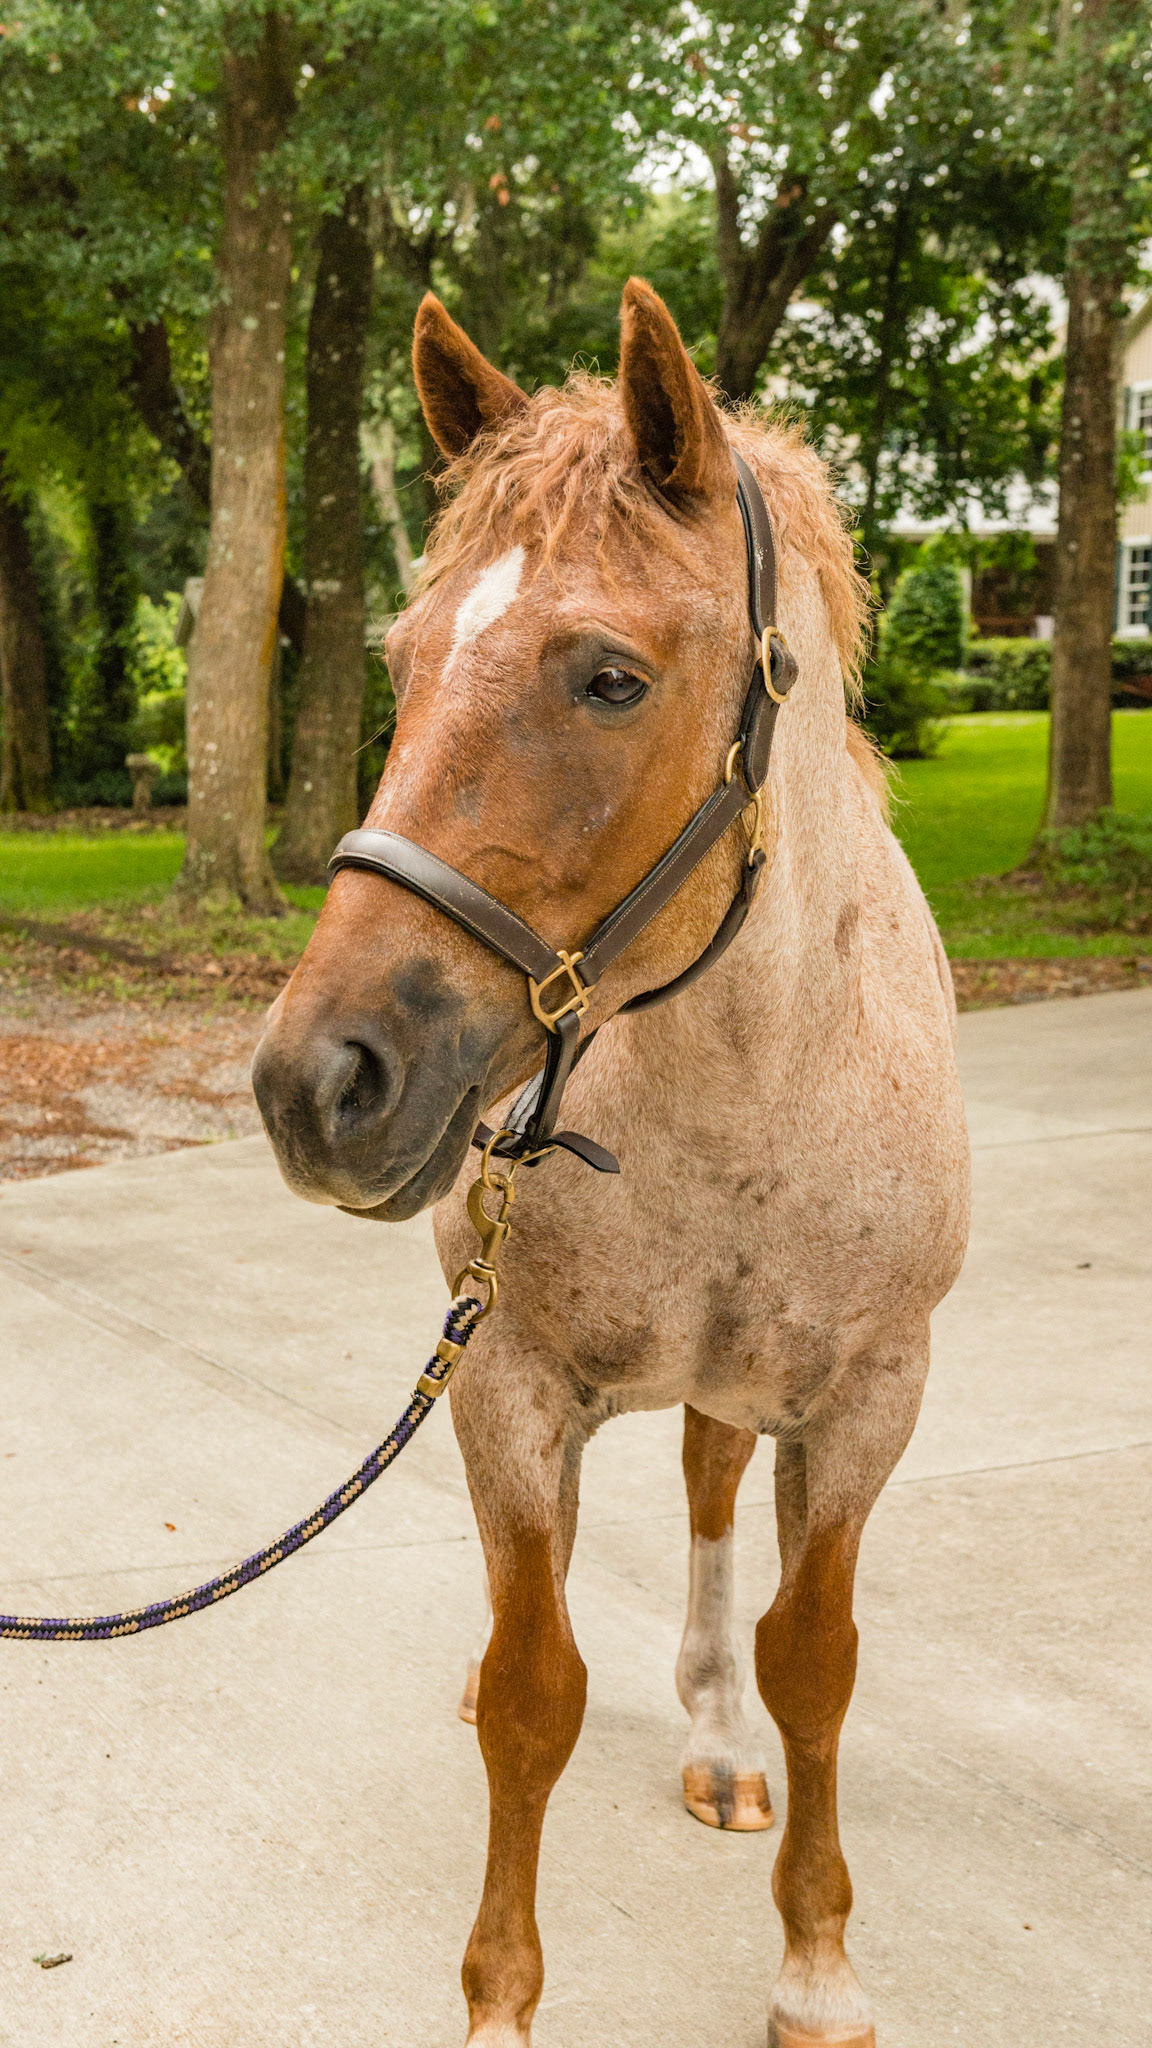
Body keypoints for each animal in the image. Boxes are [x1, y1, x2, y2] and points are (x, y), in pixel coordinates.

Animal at [252, 278, 970, 2048]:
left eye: (609, 679)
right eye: (403, 660)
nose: (319, 1083)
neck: (747, 1082)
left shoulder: (869, 1400)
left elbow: (813, 1660)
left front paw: (816, 1960)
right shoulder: (506, 1383)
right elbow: (536, 1688)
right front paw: (500, 2005)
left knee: (713, 1501)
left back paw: (716, 1741)